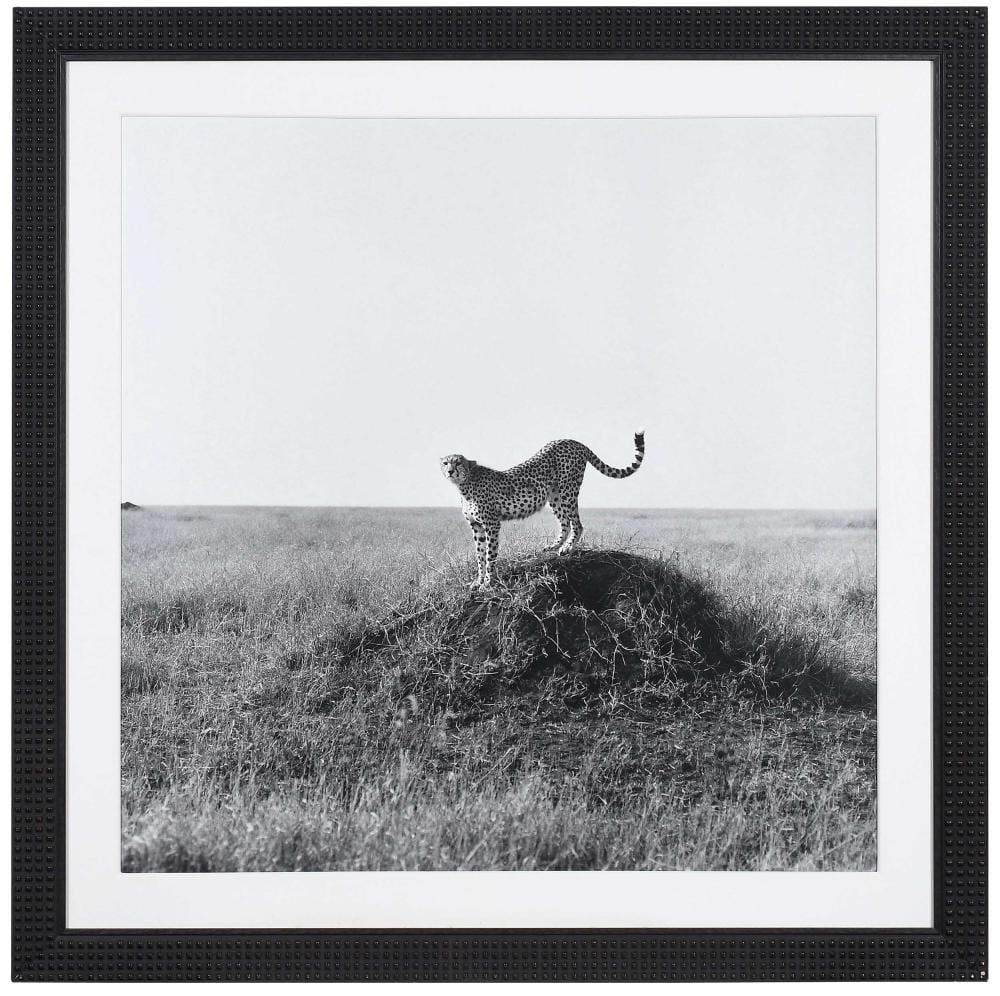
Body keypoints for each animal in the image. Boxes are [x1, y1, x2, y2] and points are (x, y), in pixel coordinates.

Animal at [440, 430, 645, 589]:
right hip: (554, 495)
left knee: (577, 524)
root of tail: (571, 440)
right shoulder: (477, 526)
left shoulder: (492, 524)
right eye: (445, 463)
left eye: (458, 463)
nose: (450, 471)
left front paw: (488, 582)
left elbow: (490, 555)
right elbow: (480, 555)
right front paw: (479, 581)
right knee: (565, 523)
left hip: (568, 489)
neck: (465, 484)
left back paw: (567, 548)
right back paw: (553, 546)